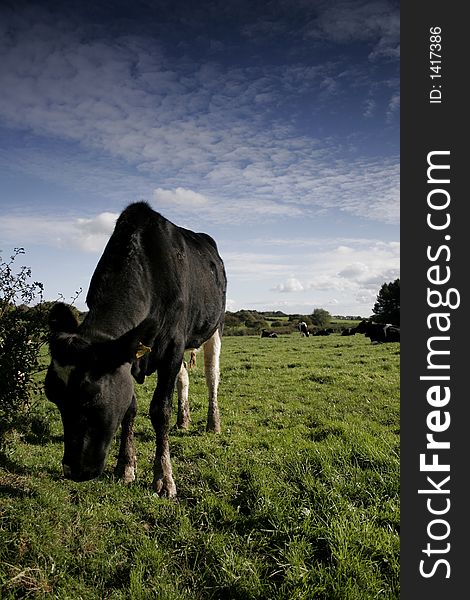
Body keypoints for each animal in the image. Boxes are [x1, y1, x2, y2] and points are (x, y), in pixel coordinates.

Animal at [44, 202, 228, 496]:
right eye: (52, 396)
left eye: (92, 395)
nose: (73, 470)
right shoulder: (128, 356)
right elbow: (130, 407)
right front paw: (125, 466)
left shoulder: (173, 345)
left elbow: (159, 410)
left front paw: (164, 477)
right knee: (184, 376)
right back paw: (184, 420)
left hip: (215, 327)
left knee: (212, 377)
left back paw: (213, 423)